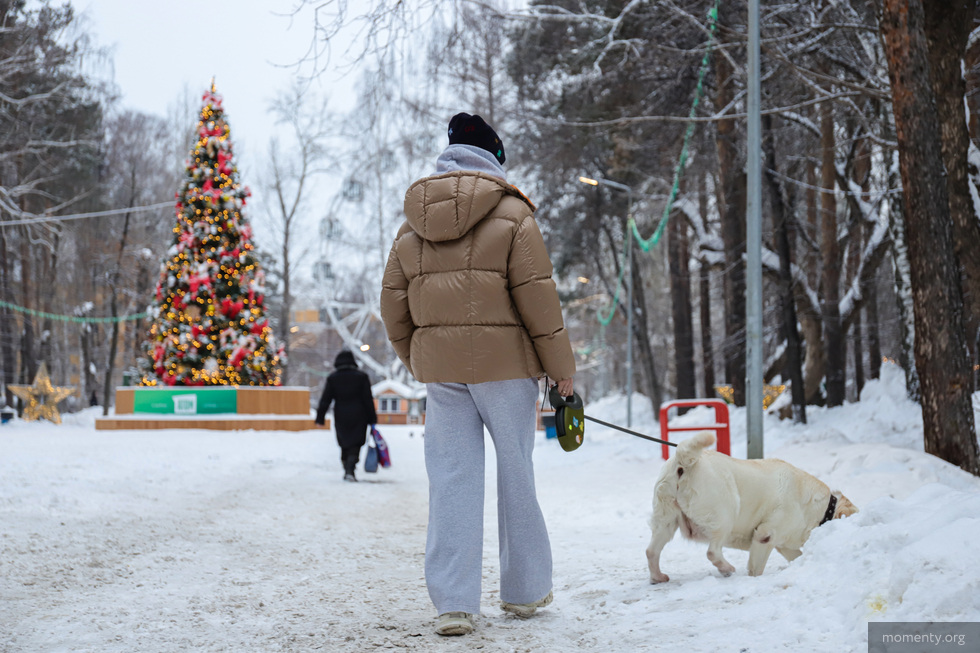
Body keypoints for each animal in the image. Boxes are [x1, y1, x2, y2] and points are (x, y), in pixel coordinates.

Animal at [652, 430, 856, 580]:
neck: (819, 509)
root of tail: (684, 463)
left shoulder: (785, 544)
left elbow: (796, 555)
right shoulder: (765, 535)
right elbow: (756, 568)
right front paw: (754, 578)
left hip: (665, 521)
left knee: (651, 551)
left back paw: (658, 577)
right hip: (725, 514)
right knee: (712, 552)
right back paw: (727, 568)